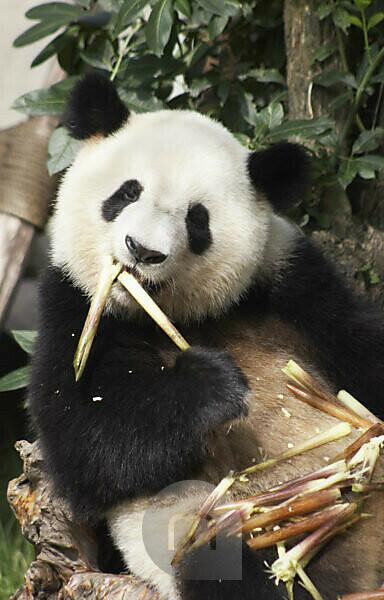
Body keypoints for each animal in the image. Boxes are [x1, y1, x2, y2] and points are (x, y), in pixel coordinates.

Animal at [29, 74, 384, 600]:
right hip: (207, 520)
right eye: (127, 192)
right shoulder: (75, 303)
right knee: (221, 560)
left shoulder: (290, 280)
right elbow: (85, 439)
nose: (143, 251)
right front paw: (212, 385)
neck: (179, 315)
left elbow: (359, 347)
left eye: (197, 218)